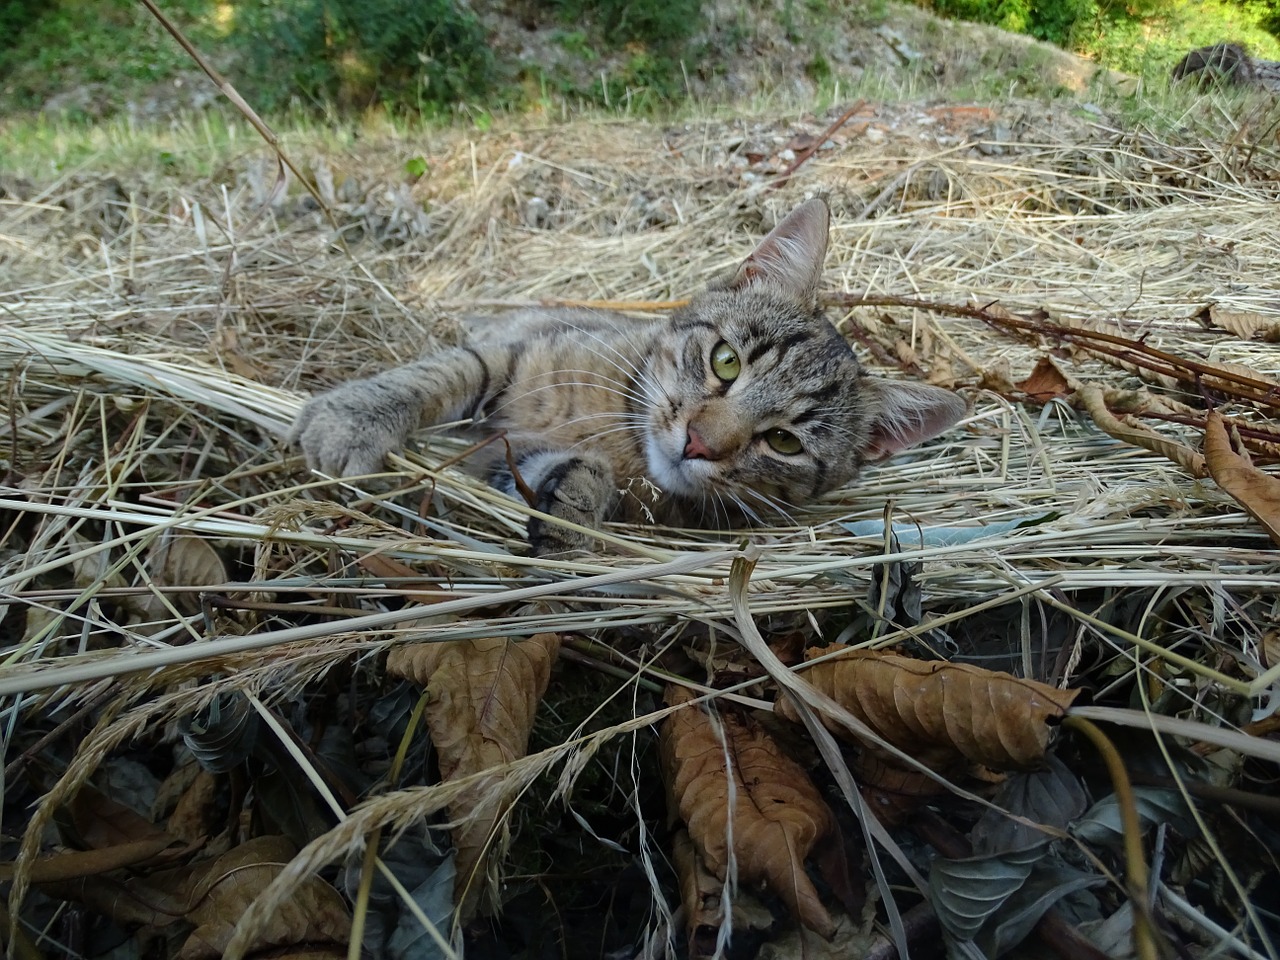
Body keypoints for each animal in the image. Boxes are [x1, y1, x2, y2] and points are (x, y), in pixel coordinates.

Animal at [293, 199, 962, 552]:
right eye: (725, 361)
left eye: (784, 442)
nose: (698, 443)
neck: (621, 429)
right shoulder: (511, 352)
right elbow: (438, 376)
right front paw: (356, 418)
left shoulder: (507, 459)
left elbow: (560, 477)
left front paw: (575, 507)